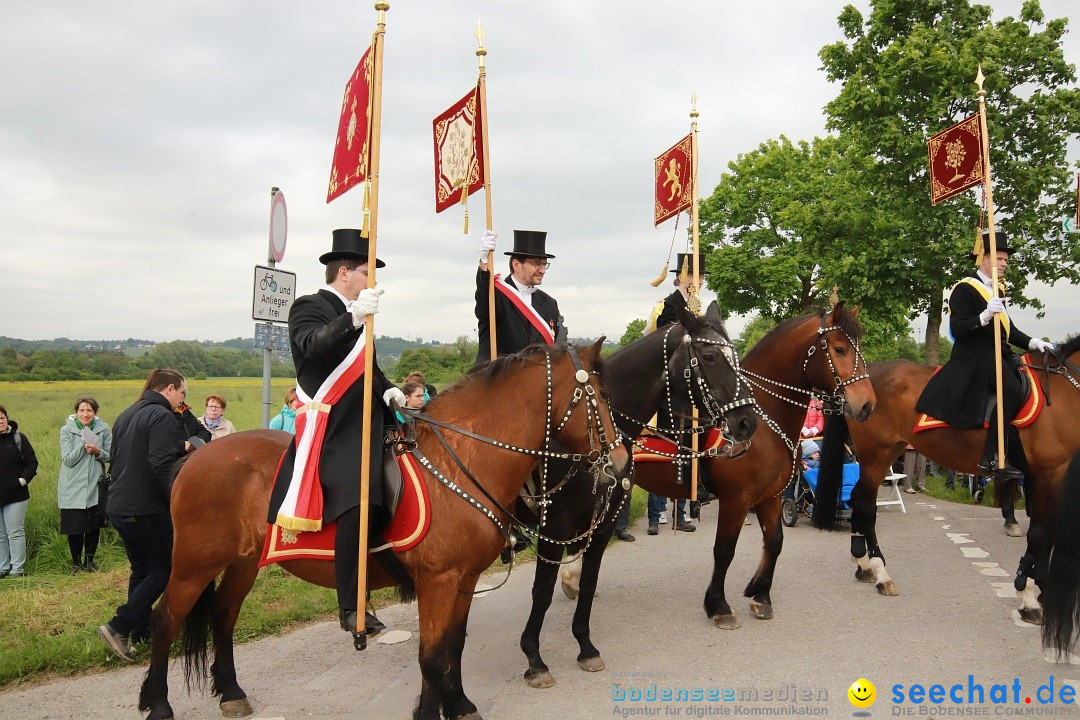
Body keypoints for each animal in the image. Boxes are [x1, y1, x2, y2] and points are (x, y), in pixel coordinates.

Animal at [142, 338, 630, 720]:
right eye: (599, 395)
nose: (622, 463)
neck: (463, 457)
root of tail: (196, 457)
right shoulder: (437, 581)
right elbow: (432, 656)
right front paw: (432, 711)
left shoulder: (464, 579)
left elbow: (454, 645)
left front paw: (458, 704)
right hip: (194, 564)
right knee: (165, 620)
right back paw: (158, 702)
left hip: (242, 562)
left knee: (223, 616)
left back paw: (230, 692)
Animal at [516, 302, 756, 690]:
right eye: (708, 356)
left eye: (734, 355)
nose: (748, 422)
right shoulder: (553, 529)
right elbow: (542, 589)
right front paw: (535, 660)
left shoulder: (601, 525)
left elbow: (588, 581)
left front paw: (585, 647)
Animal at [812, 343, 1080, 630]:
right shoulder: (1050, 474)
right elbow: (1040, 533)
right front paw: (1029, 596)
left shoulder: (1046, 478)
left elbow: (1047, 533)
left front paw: (1041, 587)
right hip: (876, 454)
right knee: (865, 503)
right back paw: (881, 572)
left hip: (888, 451)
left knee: (858, 498)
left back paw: (863, 564)